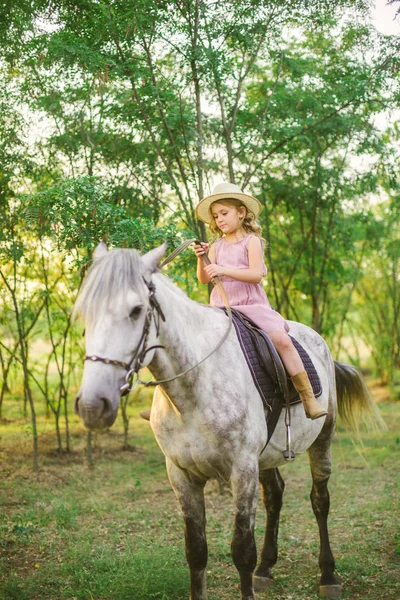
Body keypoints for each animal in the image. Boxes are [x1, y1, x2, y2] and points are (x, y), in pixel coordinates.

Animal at [73, 243, 386, 600]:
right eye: (84, 312)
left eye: (137, 310)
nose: (92, 405)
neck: (194, 386)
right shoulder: (181, 475)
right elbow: (196, 551)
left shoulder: (242, 470)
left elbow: (242, 552)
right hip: (266, 456)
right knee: (275, 496)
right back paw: (266, 568)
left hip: (322, 440)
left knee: (320, 501)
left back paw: (329, 575)